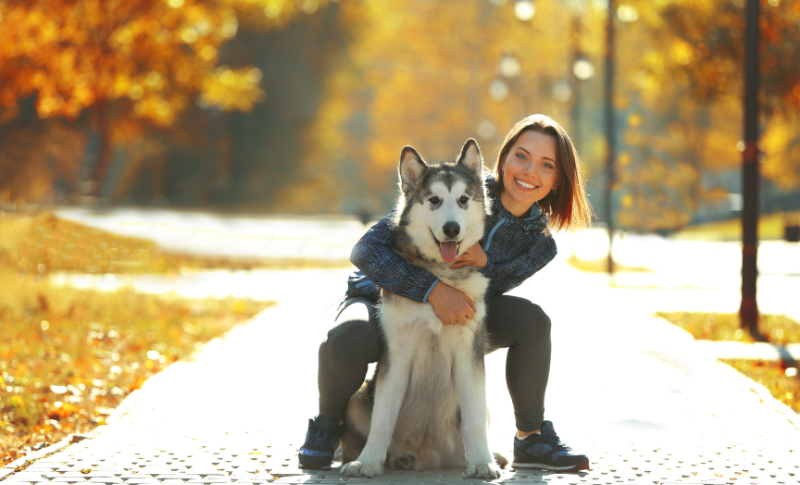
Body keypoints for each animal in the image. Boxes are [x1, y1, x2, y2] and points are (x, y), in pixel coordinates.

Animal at [340, 138, 500, 478]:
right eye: (434, 200)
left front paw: (482, 462)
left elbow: (474, 420)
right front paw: (368, 461)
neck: (440, 275)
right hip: (357, 397)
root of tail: (427, 452)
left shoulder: (469, 351)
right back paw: (393, 458)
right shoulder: (396, 353)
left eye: (463, 200)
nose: (451, 229)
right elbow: (382, 419)